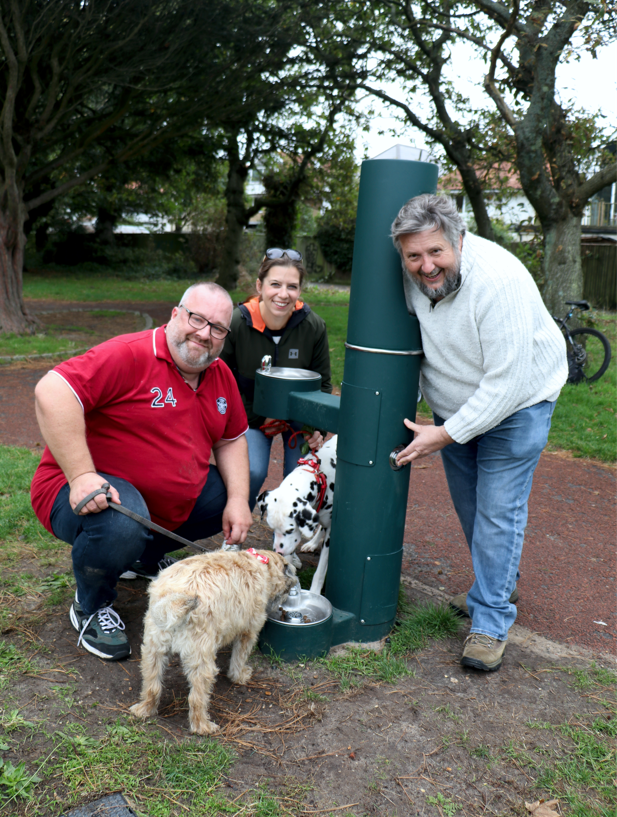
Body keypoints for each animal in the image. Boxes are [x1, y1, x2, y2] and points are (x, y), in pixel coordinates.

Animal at [129, 548, 294, 732]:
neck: (258, 561)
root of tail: (175, 601)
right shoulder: (248, 632)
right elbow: (239, 658)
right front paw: (239, 676)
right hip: (201, 660)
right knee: (196, 698)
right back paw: (202, 726)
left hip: (153, 651)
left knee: (152, 686)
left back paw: (144, 709)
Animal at [254, 434, 336, 592]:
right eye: (272, 528)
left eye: (290, 530)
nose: (278, 551)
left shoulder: (331, 534)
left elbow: (320, 572)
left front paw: (314, 593)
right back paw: (312, 543)